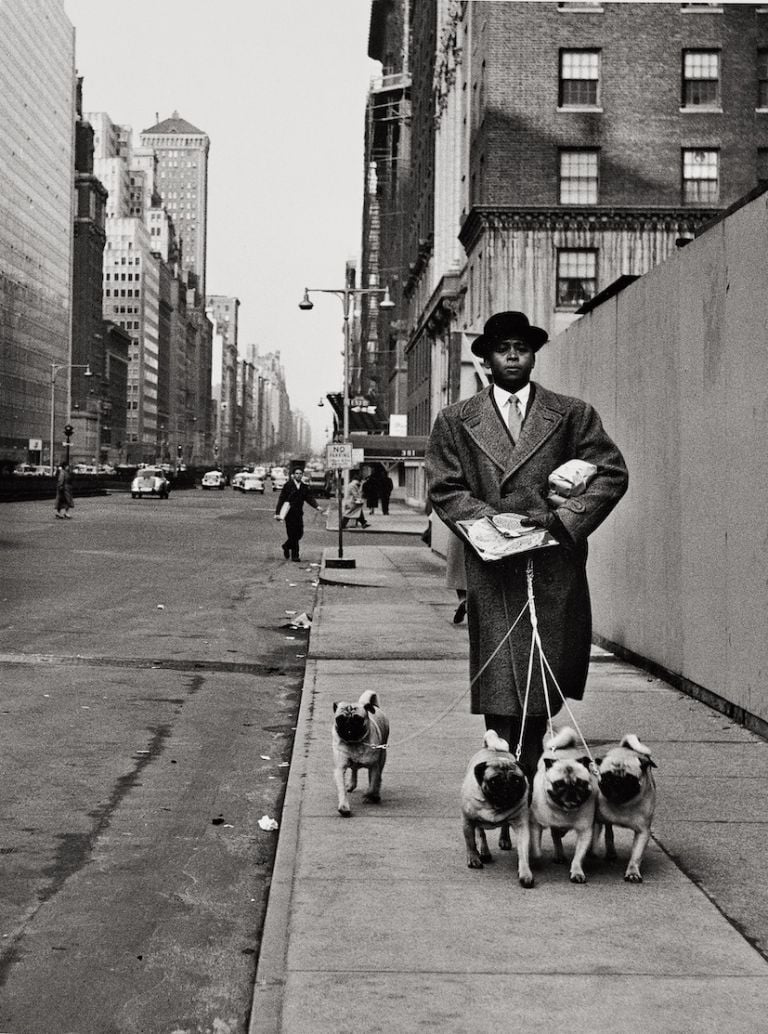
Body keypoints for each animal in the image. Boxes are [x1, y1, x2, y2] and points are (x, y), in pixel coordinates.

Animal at [463, 727, 533, 889]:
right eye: (494, 781)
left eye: (516, 780)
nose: (507, 787)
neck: (494, 805)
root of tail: (491, 748)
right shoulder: (468, 822)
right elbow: (470, 843)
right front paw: (473, 859)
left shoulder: (521, 826)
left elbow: (523, 852)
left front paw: (525, 873)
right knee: (481, 833)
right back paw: (484, 852)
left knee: (504, 826)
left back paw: (504, 840)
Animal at [529, 723, 599, 885]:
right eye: (559, 784)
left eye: (581, 783)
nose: (571, 792)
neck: (563, 811)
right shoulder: (536, 824)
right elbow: (536, 849)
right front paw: (536, 862)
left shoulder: (585, 830)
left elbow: (579, 856)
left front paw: (577, 872)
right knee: (555, 834)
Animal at [591, 736, 657, 880]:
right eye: (607, 777)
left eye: (630, 779)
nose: (617, 783)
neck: (622, 805)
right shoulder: (596, 822)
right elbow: (593, 840)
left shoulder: (643, 832)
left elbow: (636, 855)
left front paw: (633, 872)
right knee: (609, 832)